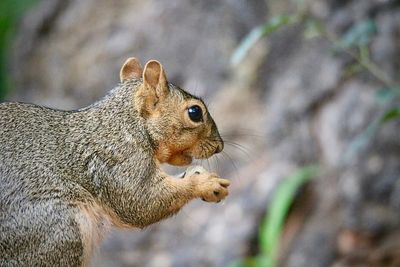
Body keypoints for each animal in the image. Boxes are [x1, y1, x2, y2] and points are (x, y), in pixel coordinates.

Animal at [0, 57, 230, 266]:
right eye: (195, 112)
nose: (220, 146)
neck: (125, 122)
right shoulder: (119, 160)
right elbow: (142, 202)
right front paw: (204, 183)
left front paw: (196, 174)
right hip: (58, 231)